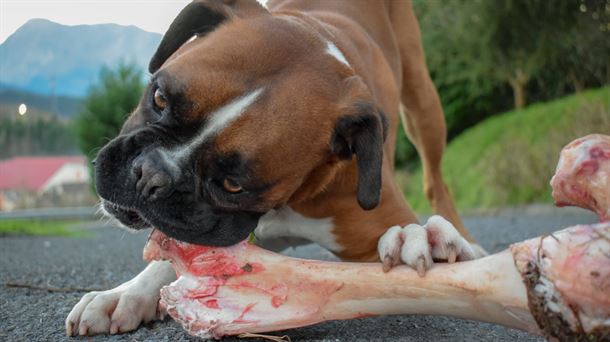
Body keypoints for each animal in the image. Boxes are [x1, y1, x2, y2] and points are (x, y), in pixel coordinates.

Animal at [66, 0, 484, 336]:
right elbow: (173, 258)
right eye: (159, 98)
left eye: (233, 185)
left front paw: (424, 239)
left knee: (435, 179)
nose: (150, 175)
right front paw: (126, 293)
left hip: (423, 105)